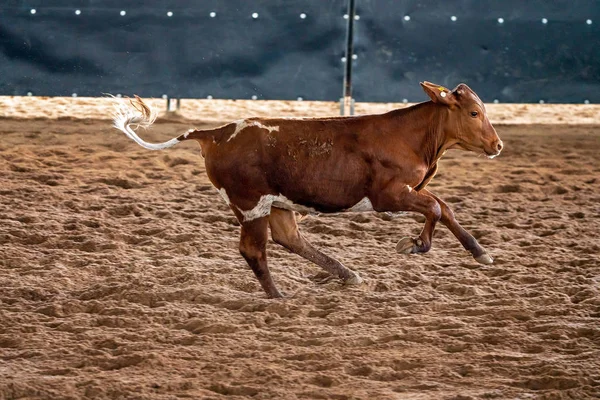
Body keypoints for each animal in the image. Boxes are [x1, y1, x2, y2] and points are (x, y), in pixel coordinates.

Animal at [112, 83, 502, 298]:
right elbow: (436, 208)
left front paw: (479, 252)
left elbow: (444, 207)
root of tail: (217, 133)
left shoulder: (406, 193)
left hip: (277, 203)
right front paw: (414, 244)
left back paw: (346, 274)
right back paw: (279, 296)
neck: (410, 136)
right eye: (473, 113)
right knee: (254, 250)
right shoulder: (388, 196)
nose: (497, 145)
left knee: (289, 239)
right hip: (251, 205)